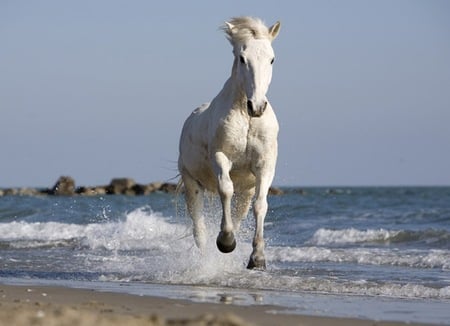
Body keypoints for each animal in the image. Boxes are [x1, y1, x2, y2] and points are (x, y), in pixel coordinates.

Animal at [178, 16, 280, 268]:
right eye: (242, 58)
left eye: (272, 59)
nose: (257, 106)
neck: (247, 118)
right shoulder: (220, 157)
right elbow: (225, 189)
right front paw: (226, 241)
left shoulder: (265, 166)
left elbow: (260, 205)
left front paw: (257, 258)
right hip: (191, 183)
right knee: (199, 228)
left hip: (245, 191)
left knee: (240, 213)